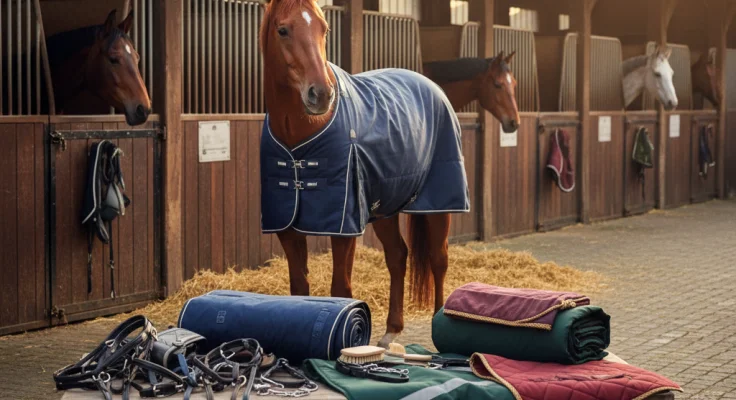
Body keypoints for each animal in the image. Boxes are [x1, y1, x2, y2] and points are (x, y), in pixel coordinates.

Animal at [259, 0, 471, 348]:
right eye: (283, 29)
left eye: (324, 28)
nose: (321, 94)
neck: (300, 139)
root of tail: (432, 86)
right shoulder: (287, 226)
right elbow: (298, 288)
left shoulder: (344, 225)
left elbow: (340, 290)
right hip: (384, 207)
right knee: (398, 255)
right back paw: (391, 330)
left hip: (439, 204)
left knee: (439, 260)